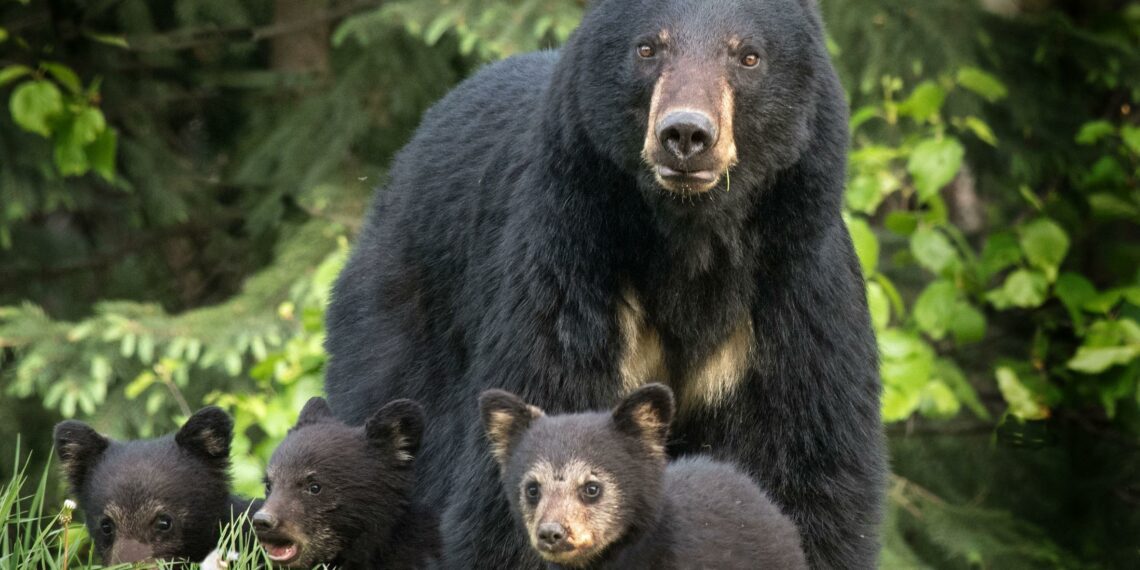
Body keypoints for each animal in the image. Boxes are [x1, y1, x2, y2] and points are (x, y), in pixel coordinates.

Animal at [326, 0, 884, 565]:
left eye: (748, 56)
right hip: (406, 324)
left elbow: (803, 473)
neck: (691, 246)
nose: (686, 134)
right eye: (647, 48)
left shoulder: (792, 299)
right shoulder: (569, 277)